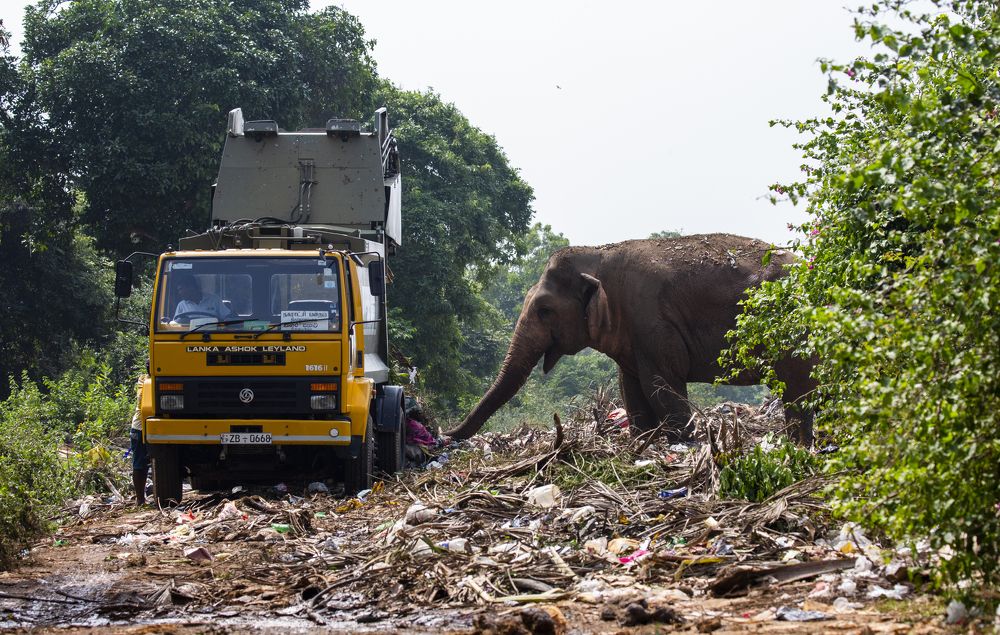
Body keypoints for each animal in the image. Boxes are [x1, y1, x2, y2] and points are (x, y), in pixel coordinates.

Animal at [446, 233, 816, 444]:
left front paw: (683, 442)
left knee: (798, 390)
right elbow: (631, 389)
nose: (444, 437)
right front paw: (643, 442)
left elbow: (661, 386)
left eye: (544, 310)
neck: (597, 254)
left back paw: (800, 444)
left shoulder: (651, 320)